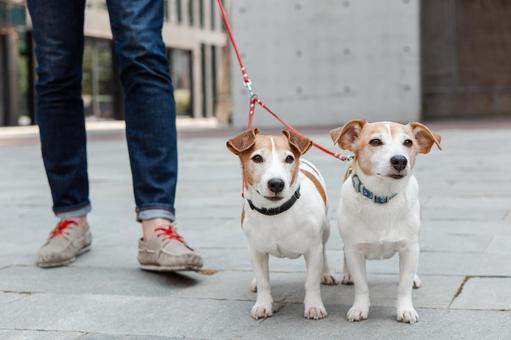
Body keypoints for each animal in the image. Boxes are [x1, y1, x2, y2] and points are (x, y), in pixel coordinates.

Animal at [227, 128, 338, 322]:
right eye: (257, 158)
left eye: (289, 158)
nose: (277, 183)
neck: (276, 211)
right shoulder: (256, 250)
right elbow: (263, 281)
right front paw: (262, 305)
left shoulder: (313, 250)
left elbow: (311, 282)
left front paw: (314, 306)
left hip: (325, 231)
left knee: (324, 251)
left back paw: (326, 274)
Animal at [330, 120, 442, 324]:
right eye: (375, 141)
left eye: (408, 142)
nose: (400, 160)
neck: (382, 197)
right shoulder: (354, 250)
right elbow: (362, 286)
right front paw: (360, 308)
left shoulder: (409, 248)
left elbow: (404, 286)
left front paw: (406, 310)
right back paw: (347, 274)